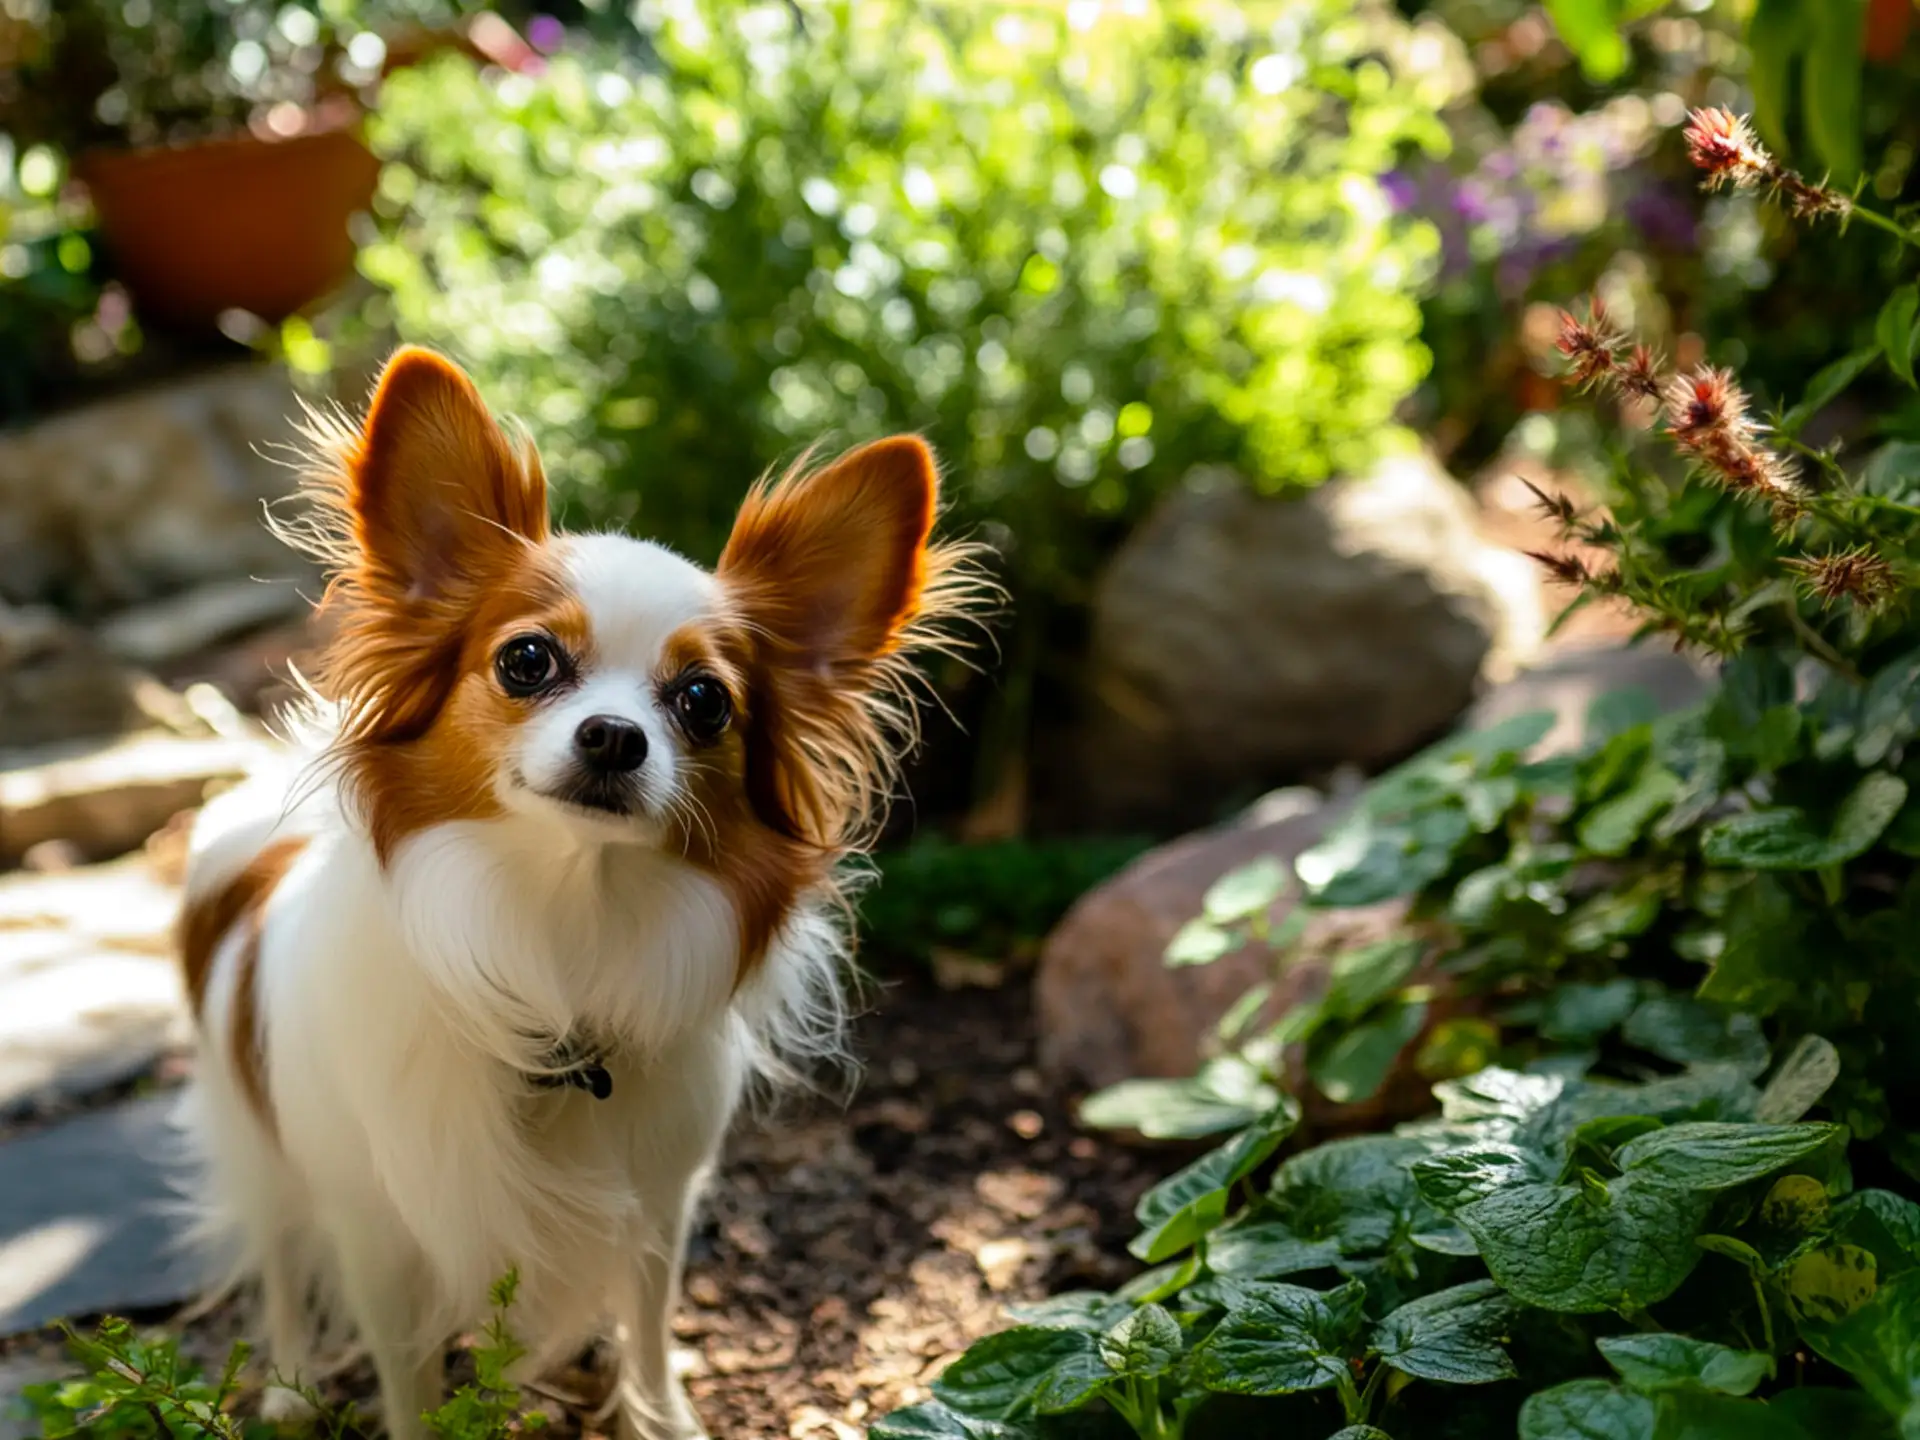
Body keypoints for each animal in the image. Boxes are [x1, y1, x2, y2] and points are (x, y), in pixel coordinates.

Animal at [174, 349, 983, 1440]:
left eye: (703, 702)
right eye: (527, 660)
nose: (614, 736)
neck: (560, 935)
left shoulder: (659, 1199)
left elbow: (647, 1330)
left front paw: (663, 1417)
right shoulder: (376, 1234)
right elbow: (405, 1377)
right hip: (259, 1141)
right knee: (275, 1262)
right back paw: (290, 1383)